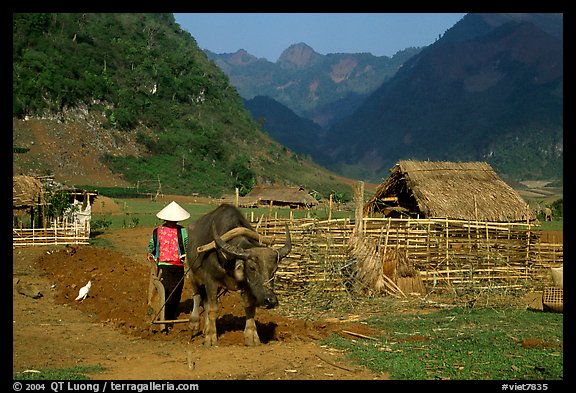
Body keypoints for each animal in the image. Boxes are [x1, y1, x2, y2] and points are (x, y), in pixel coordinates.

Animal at [186, 204, 290, 344]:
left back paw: (206, 328)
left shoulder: (246, 286)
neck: (229, 260)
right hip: (192, 274)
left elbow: (249, 307)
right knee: (197, 297)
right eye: (252, 268)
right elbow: (213, 309)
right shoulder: (210, 281)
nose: (270, 300)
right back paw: (194, 324)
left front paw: (252, 337)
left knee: (206, 303)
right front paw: (211, 338)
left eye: (274, 269)